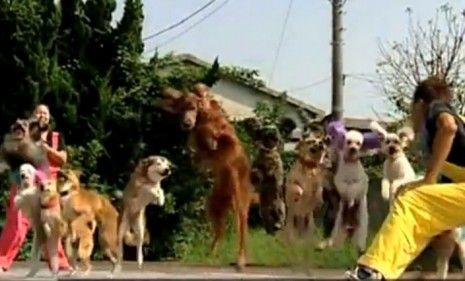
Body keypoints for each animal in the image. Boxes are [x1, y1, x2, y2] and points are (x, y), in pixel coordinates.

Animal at [159, 82, 254, 270]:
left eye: (192, 108)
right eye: (181, 110)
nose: (186, 122)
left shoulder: (225, 136)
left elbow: (219, 136)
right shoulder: (197, 144)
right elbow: (198, 149)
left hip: (239, 202)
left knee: (242, 232)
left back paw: (241, 259)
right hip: (214, 205)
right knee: (219, 231)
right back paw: (211, 253)